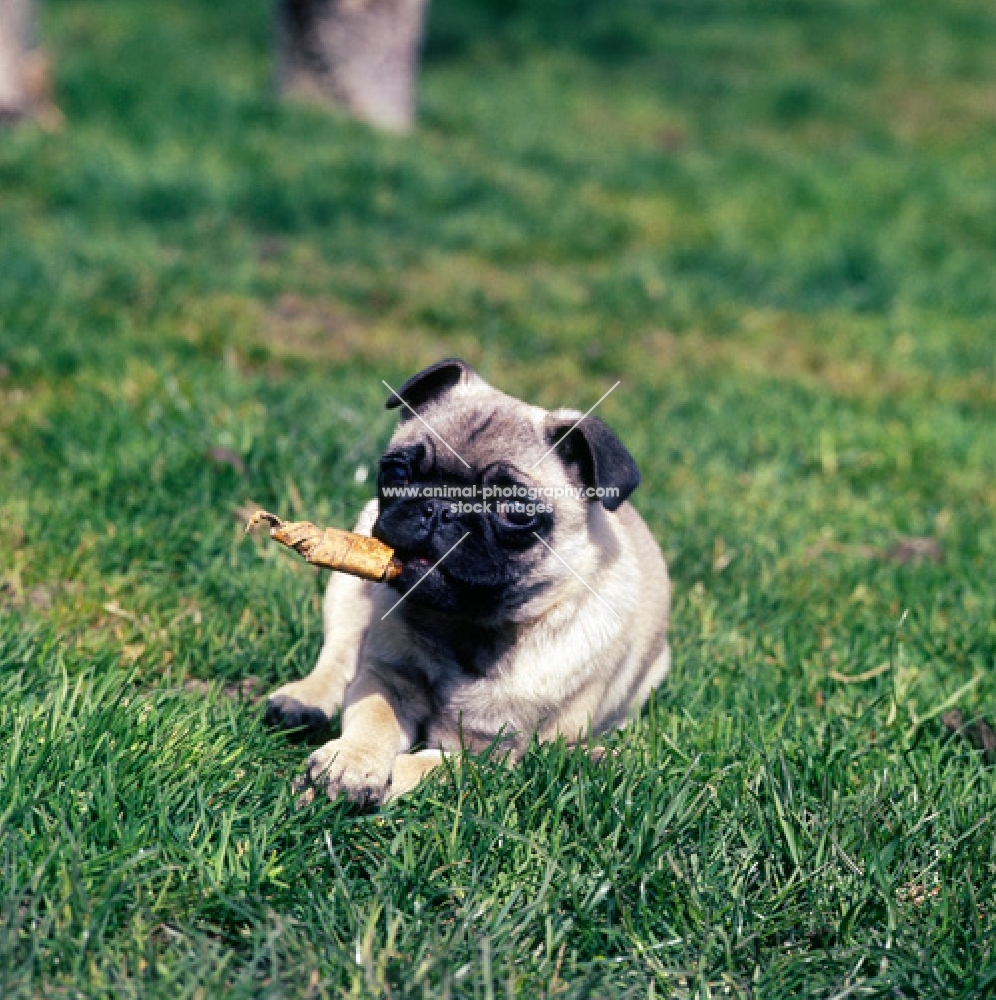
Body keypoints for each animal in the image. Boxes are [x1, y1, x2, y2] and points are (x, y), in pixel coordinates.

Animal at [266, 360, 668, 804]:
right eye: (397, 471)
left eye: (515, 511)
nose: (441, 508)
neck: (462, 629)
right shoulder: (388, 678)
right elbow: (374, 717)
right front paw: (351, 761)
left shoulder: (487, 753)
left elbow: (421, 766)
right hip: (347, 591)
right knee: (339, 653)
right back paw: (304, 699)